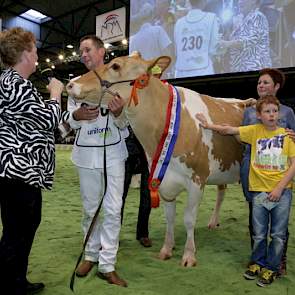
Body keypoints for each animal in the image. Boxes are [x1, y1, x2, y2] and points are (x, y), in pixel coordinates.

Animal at [66, 53, 256, 268]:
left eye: (115, 66)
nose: (71, 84)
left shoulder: (197, 179)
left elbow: (189, 218)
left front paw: (188, 255)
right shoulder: (163, 180)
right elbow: (170, 218)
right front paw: (166, 249)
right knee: (222, 191)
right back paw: (213, 221)